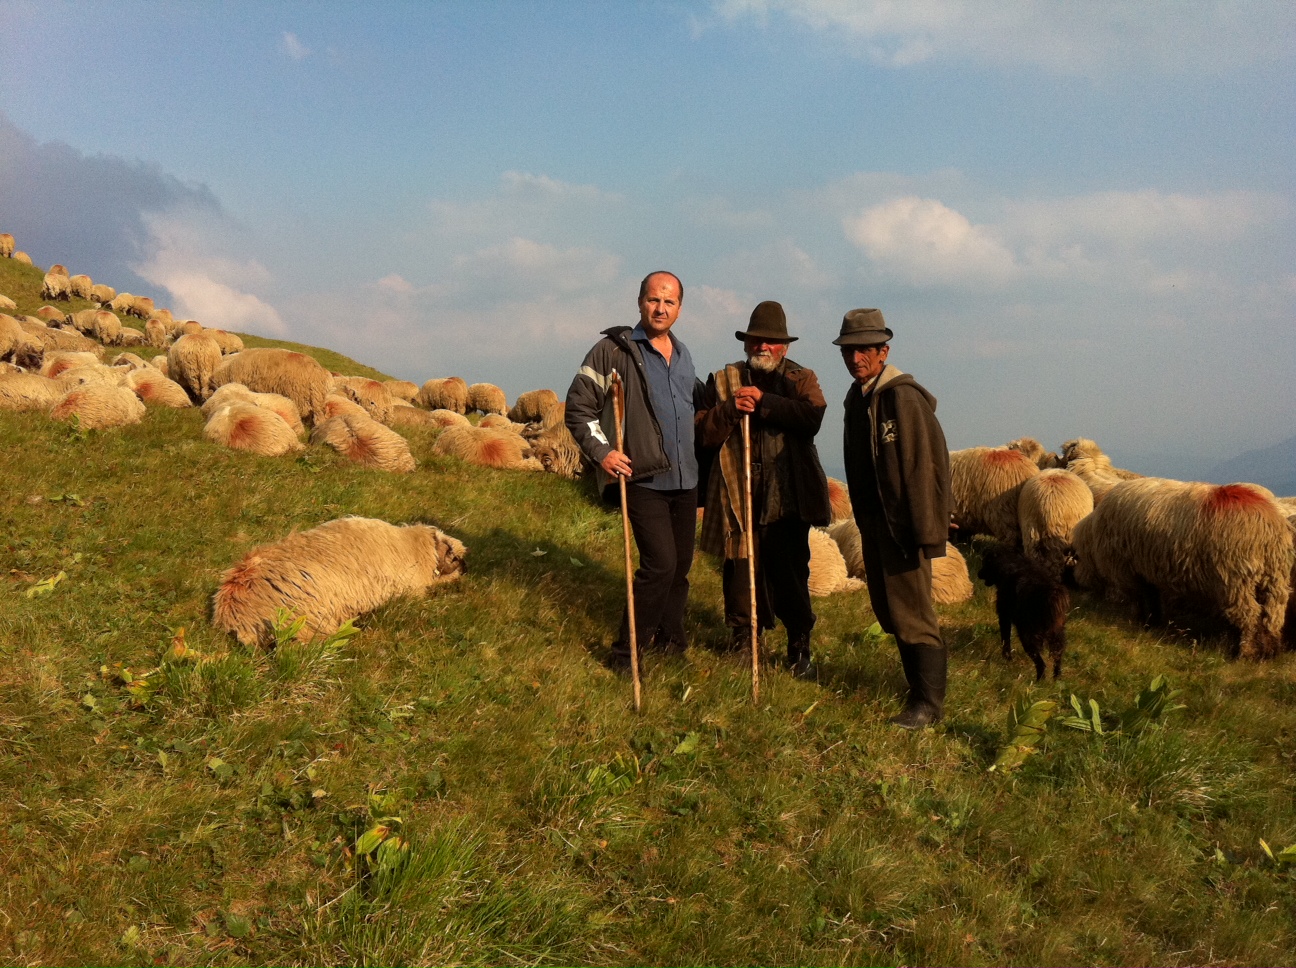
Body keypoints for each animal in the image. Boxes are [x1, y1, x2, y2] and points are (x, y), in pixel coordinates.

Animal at [1067, 476, 1290, 658]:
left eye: (1078, 558)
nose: (1077, 582)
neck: (1093, 537)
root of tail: (1267, 528)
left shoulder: (1126, 570)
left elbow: (1139, 598)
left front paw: (1139, 621)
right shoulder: (1147, 569)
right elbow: (1152, 597)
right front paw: (1153, 622)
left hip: (1236, 581)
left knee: (1250, 616)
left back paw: (1246, 652)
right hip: (1275, 579)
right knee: (1272, 615)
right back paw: (1270, 651)